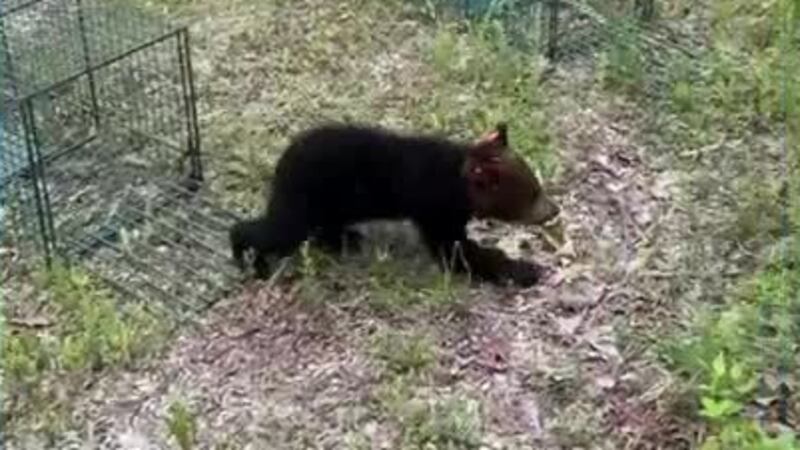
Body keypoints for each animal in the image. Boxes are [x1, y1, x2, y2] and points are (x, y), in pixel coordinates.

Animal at [229, 122, 560, 287]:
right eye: (533, 193)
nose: (554, 210)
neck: (458, 181)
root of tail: (282, 164)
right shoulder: (437, 207)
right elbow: (455, 251)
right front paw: (523, 270)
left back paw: (347, 239)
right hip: (305, 199)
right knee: (276, 229)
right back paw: (250, 260)